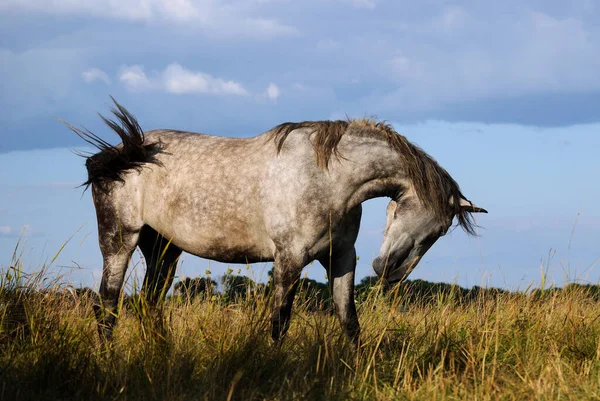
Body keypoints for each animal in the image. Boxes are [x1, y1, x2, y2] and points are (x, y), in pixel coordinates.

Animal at [63, 98, 488, 342]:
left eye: (439, 232)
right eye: (430, 223)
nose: (388, 271)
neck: (328, 177)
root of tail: (117, 156)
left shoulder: (340, 259)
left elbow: (349, 321)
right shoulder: (289, 260)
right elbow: (280, 322)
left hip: (164, 250)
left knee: (149, 306)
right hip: (120, 242)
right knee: (108, 307)